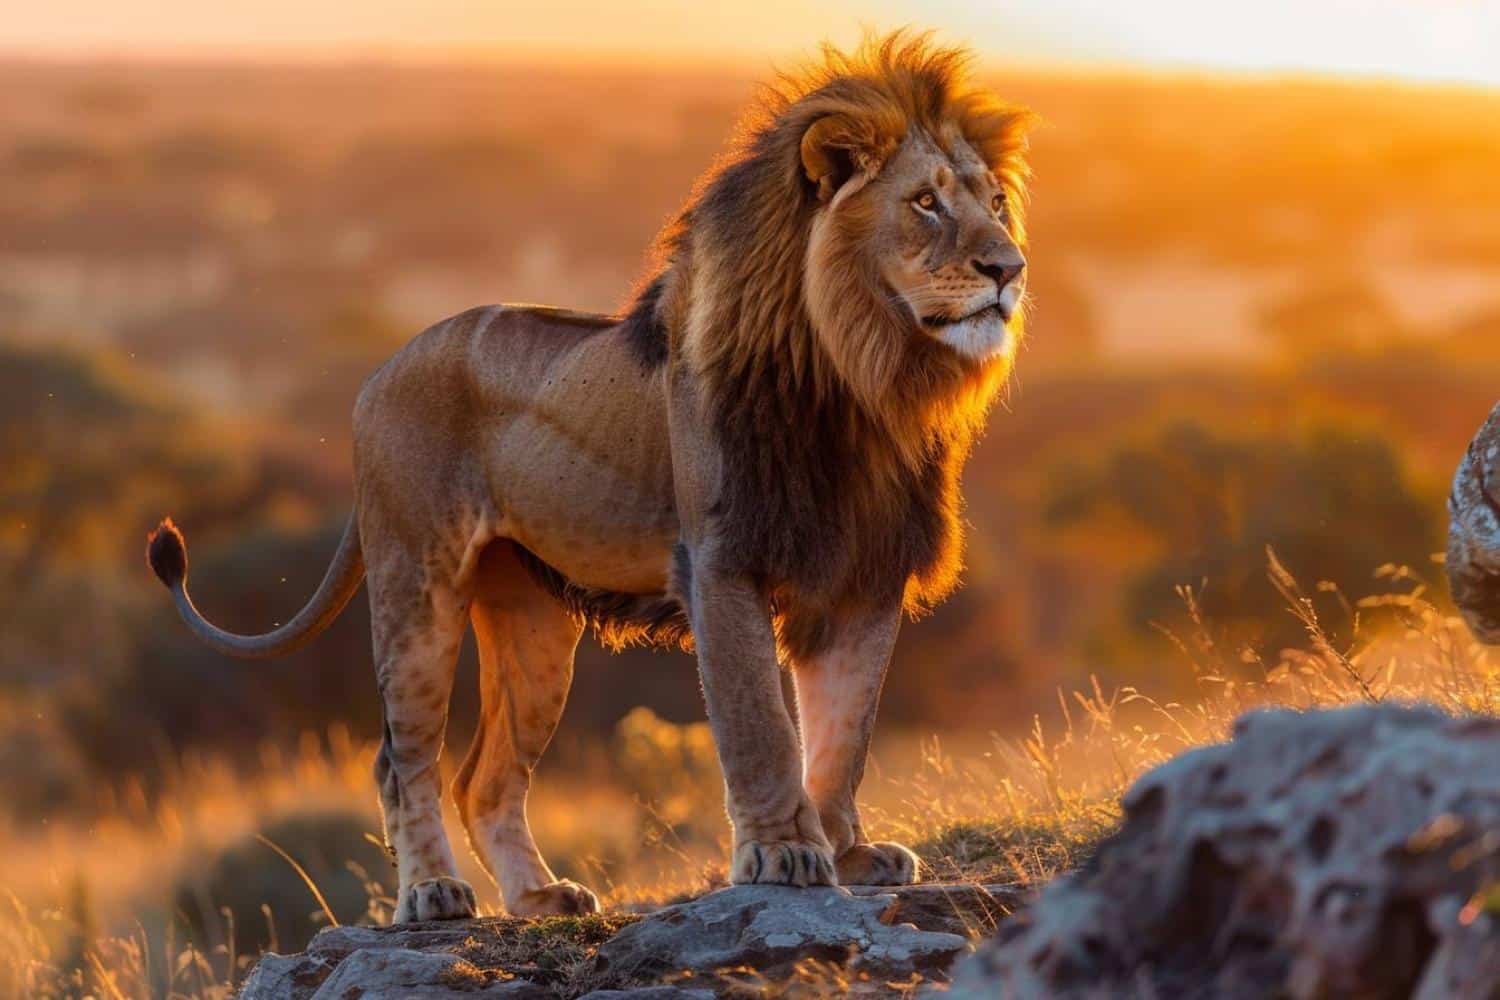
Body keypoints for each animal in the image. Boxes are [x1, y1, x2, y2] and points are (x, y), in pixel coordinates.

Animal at [146, 33, 1033, 922]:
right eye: (925, 202)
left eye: (995, 201)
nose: (1010, 267)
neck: (862, 379)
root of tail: (379, 370)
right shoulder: (723, 561)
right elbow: (761, 726)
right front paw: (784, 852)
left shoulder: (864, 573)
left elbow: (845, 731)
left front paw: (849, 852)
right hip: (415, 584)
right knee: (402, 761)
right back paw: (433, 892)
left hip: (533, 626)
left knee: (483, 779)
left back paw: (540, 896)